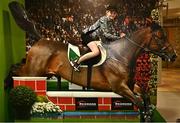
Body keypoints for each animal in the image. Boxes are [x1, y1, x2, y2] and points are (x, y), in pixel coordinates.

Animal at [15, 22, 176, 108]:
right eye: (160, 37)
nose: (174, 55)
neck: (121, 55)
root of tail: (39, 40)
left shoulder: (130, 85)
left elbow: (145, 96)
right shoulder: (119, 87)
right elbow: (139, 102)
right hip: (33, 73)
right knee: (17, 72)